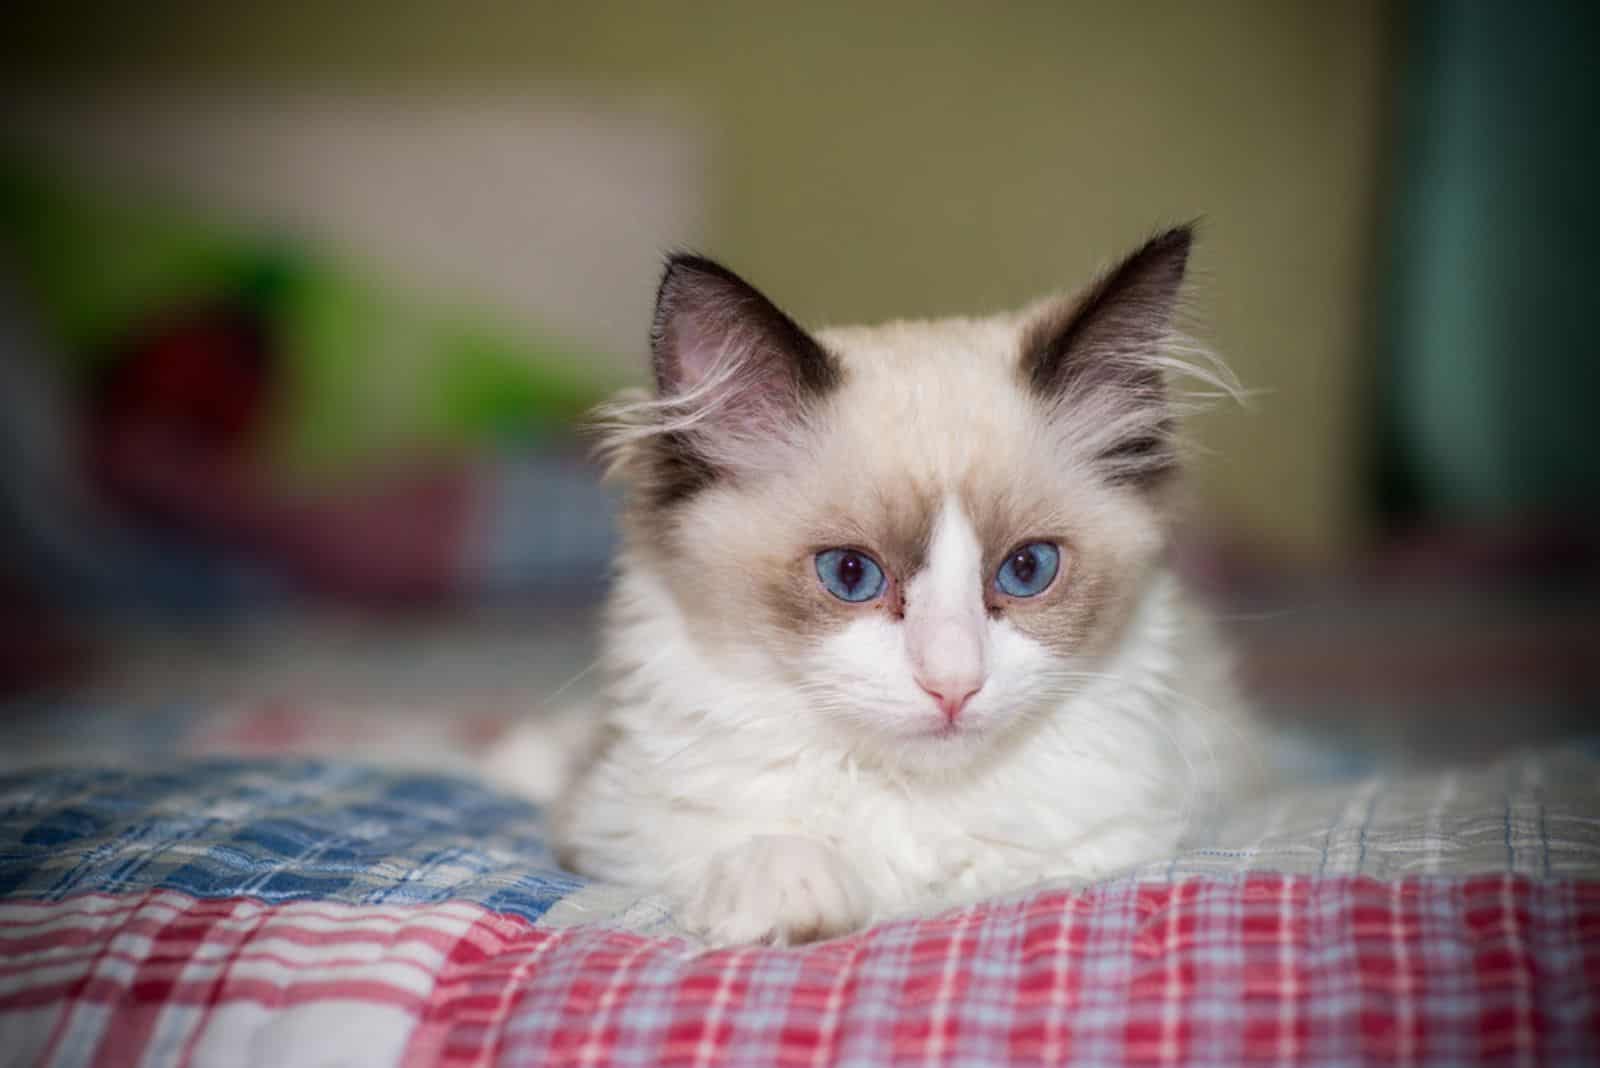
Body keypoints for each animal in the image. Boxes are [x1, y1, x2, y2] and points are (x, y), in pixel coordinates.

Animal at [496, 225, 1260, 940]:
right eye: (851, 574)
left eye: (1027, 569)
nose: (953, 686)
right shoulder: (614, 826)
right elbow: (760, 842)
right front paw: (788, 898)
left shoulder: (1103, 843)